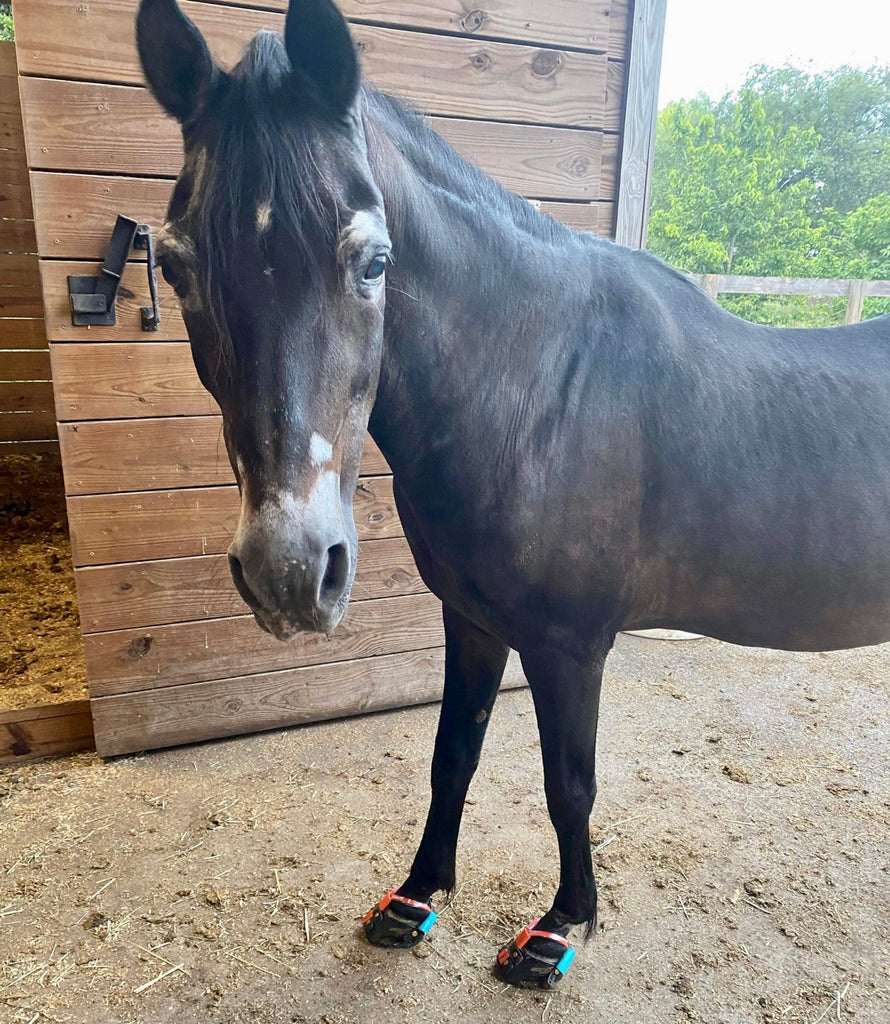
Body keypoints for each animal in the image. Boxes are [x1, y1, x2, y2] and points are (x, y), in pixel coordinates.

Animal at [135, 0, 888, 987]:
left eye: (374, 260)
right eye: (177, 267)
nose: (291, 572)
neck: (539, 386)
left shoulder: (570, 646)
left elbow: (569, 786)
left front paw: (561, 927)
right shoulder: (473, 618)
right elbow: (452, 755)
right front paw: (416, 898)